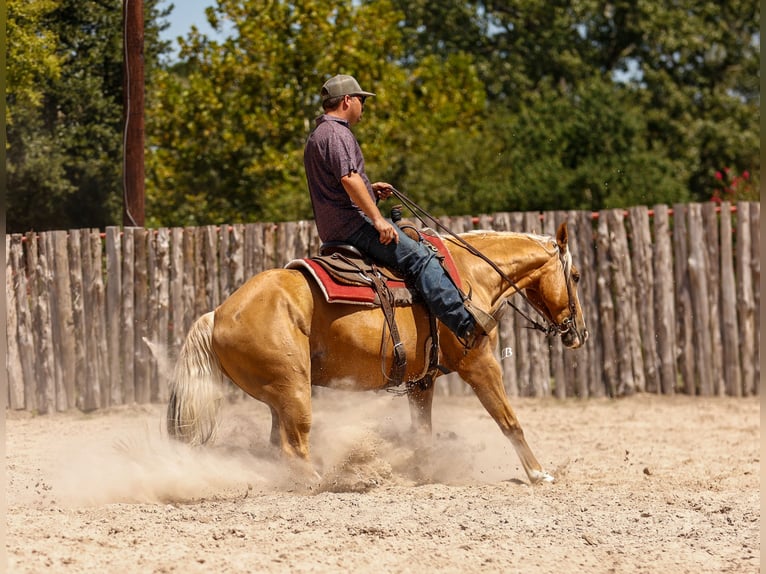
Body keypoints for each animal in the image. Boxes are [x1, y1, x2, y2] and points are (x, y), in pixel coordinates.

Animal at [166, 222, 588, 484]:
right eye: (577, 276)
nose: (579, 333)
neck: (470, 276)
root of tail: (218, 313)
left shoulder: (421, 381)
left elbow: (423, 432)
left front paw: (424, 473)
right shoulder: (479, 363)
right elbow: (509, 421)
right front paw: (538, 473)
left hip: (280, 397)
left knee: (277, 447)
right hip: (294, 390)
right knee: (294, 449)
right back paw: (333, 480)